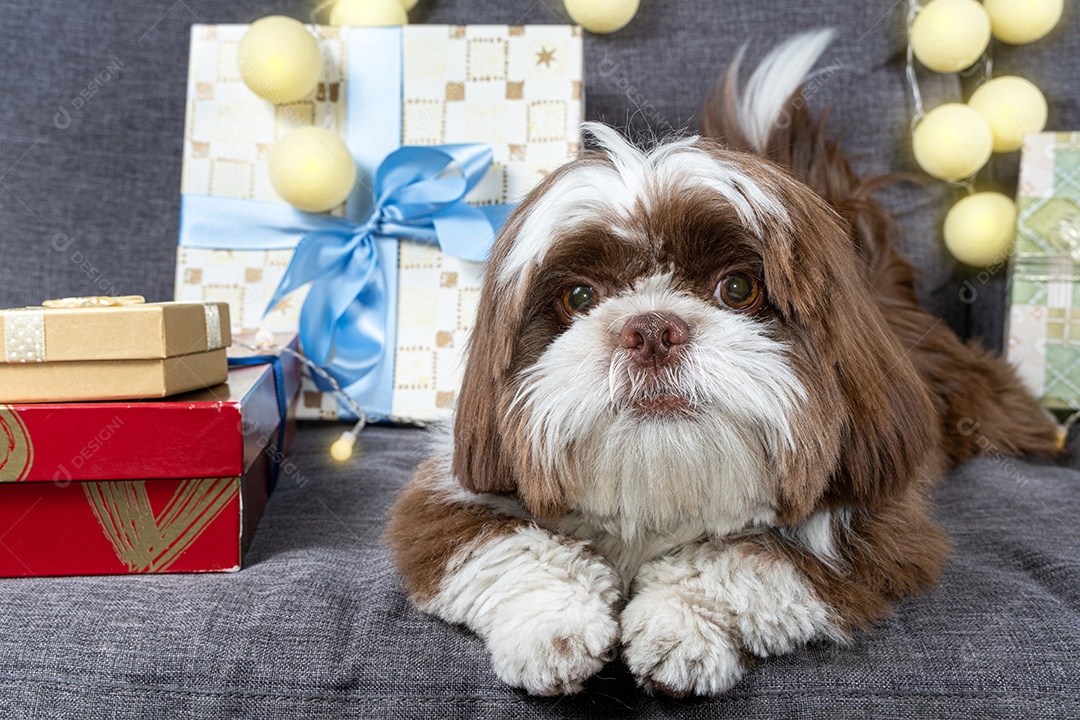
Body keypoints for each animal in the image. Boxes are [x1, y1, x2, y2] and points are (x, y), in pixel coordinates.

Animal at [384, 32, 1058, 699]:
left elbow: (741, 559)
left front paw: (678, 629)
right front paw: (555, 628)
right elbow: (515, 548)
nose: (652, 330)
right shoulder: (454, 495)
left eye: (738, 289)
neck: (659, 498)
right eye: (578, 297)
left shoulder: (865, 531)